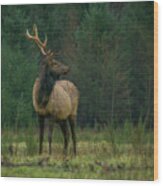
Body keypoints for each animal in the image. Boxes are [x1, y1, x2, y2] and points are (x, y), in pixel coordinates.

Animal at [25, 24, 79, 155]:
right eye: (54, 63)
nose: (68, 68)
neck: (41, 99)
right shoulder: (40, 114)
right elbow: (41, 136)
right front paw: (39, 153)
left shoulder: (52, 114)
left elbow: (49, 136)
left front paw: (49, 154)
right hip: (62, 118)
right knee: (67, 135)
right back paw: (65, 154)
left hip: (73, 112)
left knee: (74, 135)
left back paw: (74, 154)